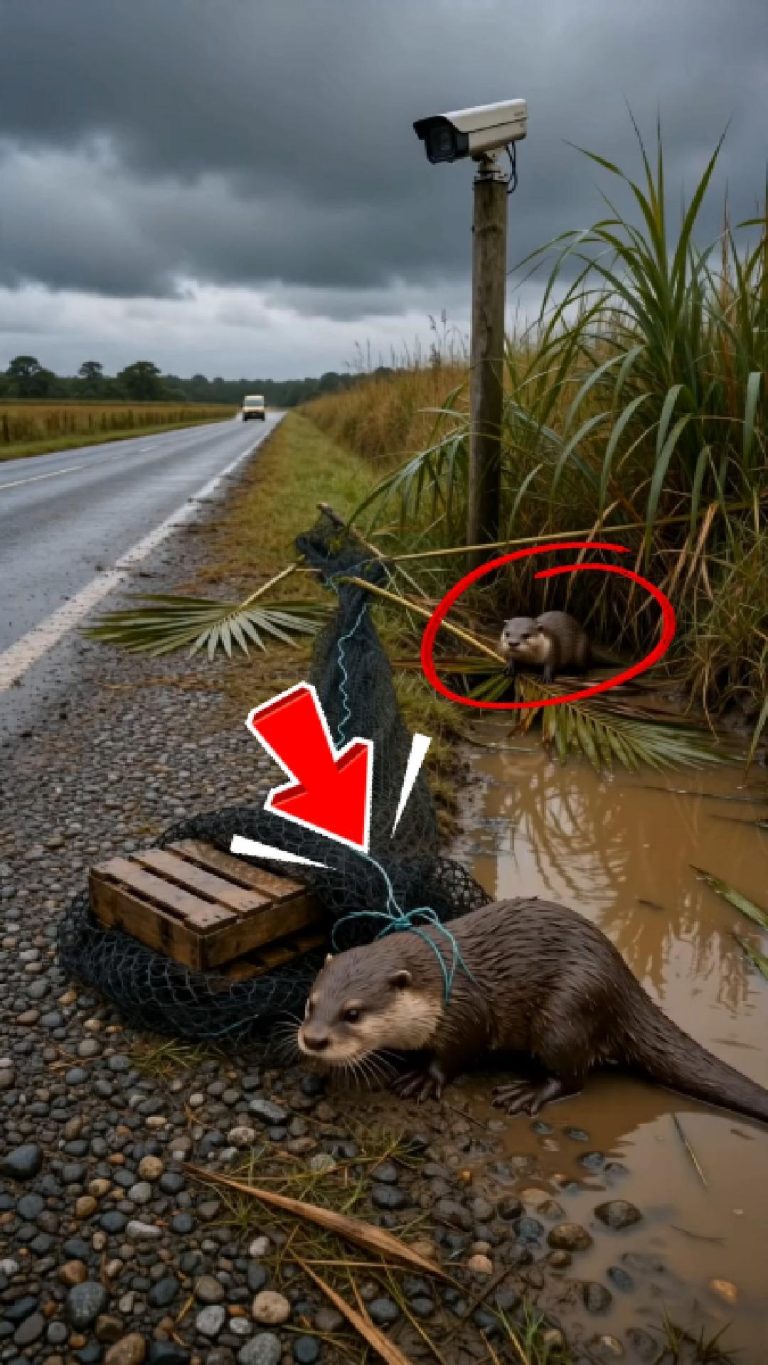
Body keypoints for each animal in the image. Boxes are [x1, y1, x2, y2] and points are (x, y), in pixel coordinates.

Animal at [297, 898, 768, 1125]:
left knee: (574, 1075)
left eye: (353, 1013)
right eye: (311, 1003)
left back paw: (526, 1093)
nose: (314, 1040)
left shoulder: (466, 1012)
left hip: (565, 1013)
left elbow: (456, 1053)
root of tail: (623, 981)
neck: (438, 986)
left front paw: (422, 1079)